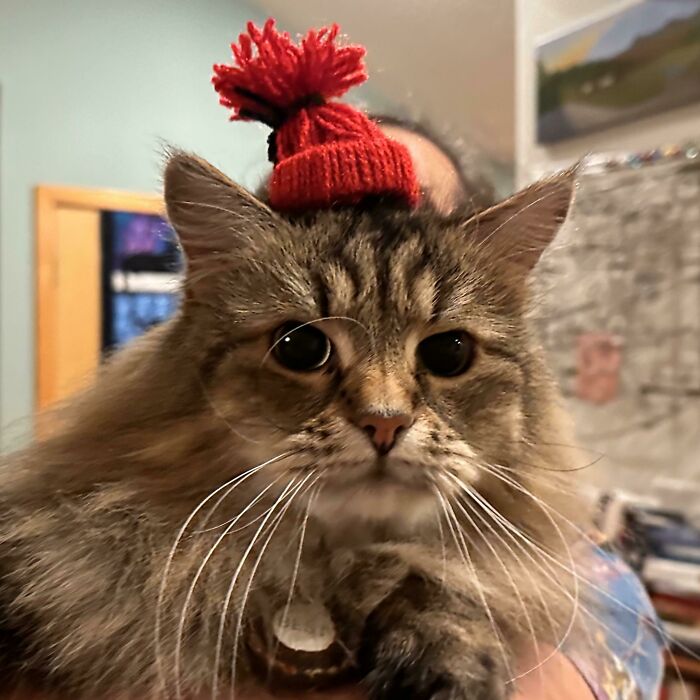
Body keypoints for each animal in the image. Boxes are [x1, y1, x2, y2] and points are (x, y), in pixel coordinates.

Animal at [0, 153, 584, 700]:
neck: (321, 569)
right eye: (301, 347)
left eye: (450, 353)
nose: (384, 422)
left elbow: (442, 579)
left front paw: (450, 655)